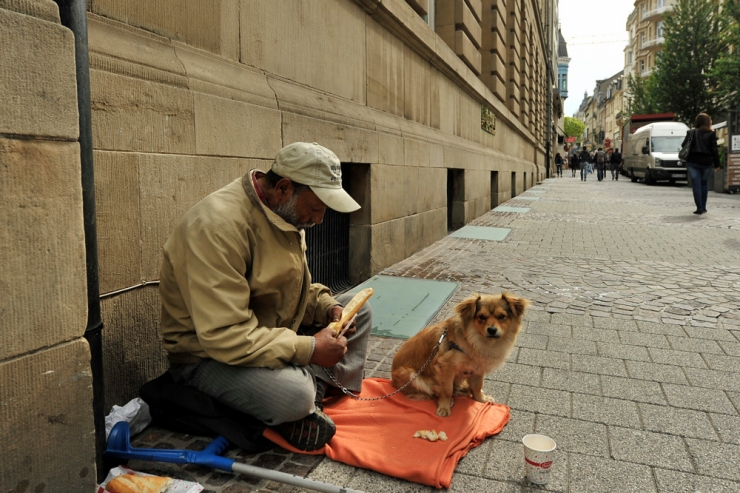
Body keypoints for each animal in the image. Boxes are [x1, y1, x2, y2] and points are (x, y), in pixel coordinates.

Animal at [390, 292, 528, 416]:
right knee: (430, 391)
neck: (475, 340)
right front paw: (444, 407)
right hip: (411, 374)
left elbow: (477, 386)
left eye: (501, 316)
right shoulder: (446, 366)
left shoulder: (478, 368)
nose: (492, 330)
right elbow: (447, 390)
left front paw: (481, 399)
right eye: (481, 317)